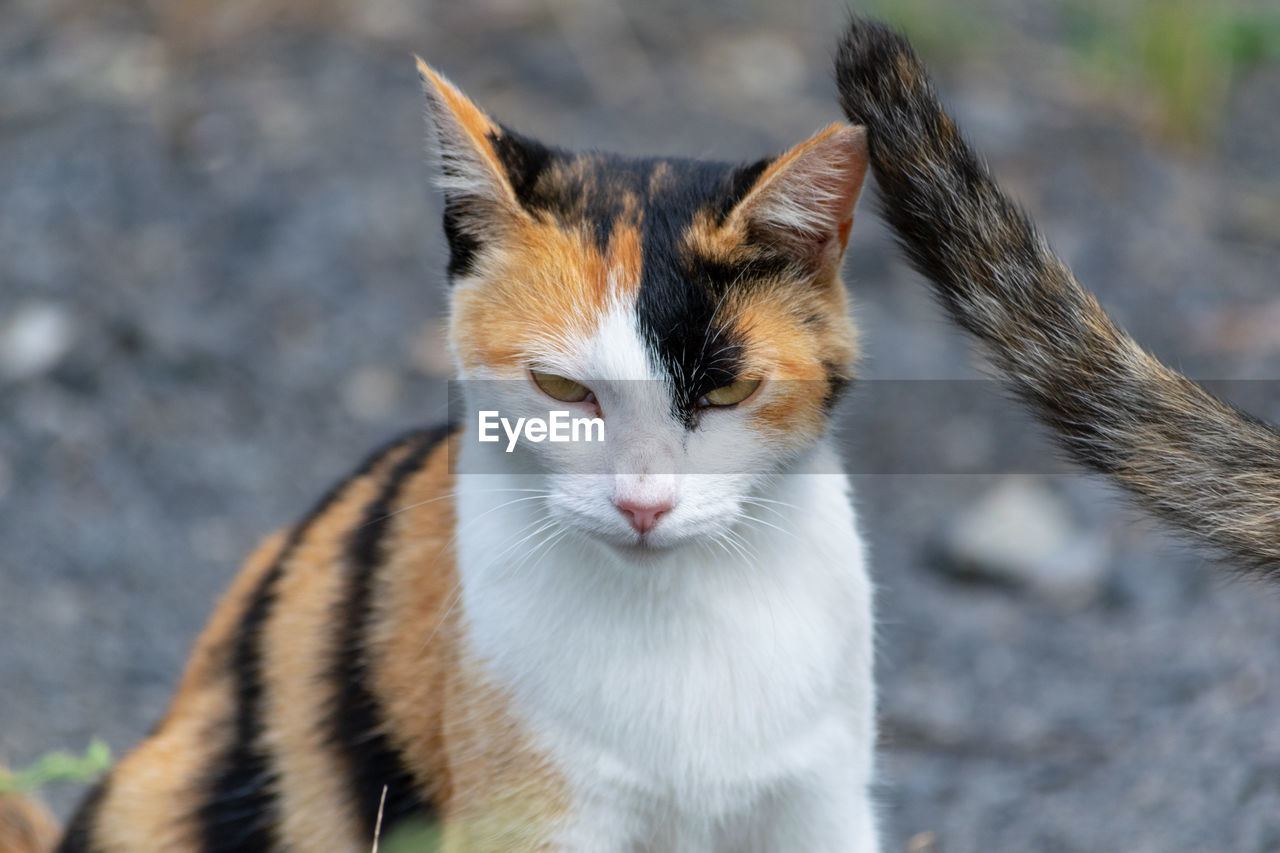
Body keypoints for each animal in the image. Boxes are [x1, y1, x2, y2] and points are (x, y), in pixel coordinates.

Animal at [0, 61, 880, 850]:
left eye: (729, 390)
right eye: (561, 387)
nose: (644, 502)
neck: (681, 615)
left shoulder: (824, 804)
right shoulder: (529, 815)